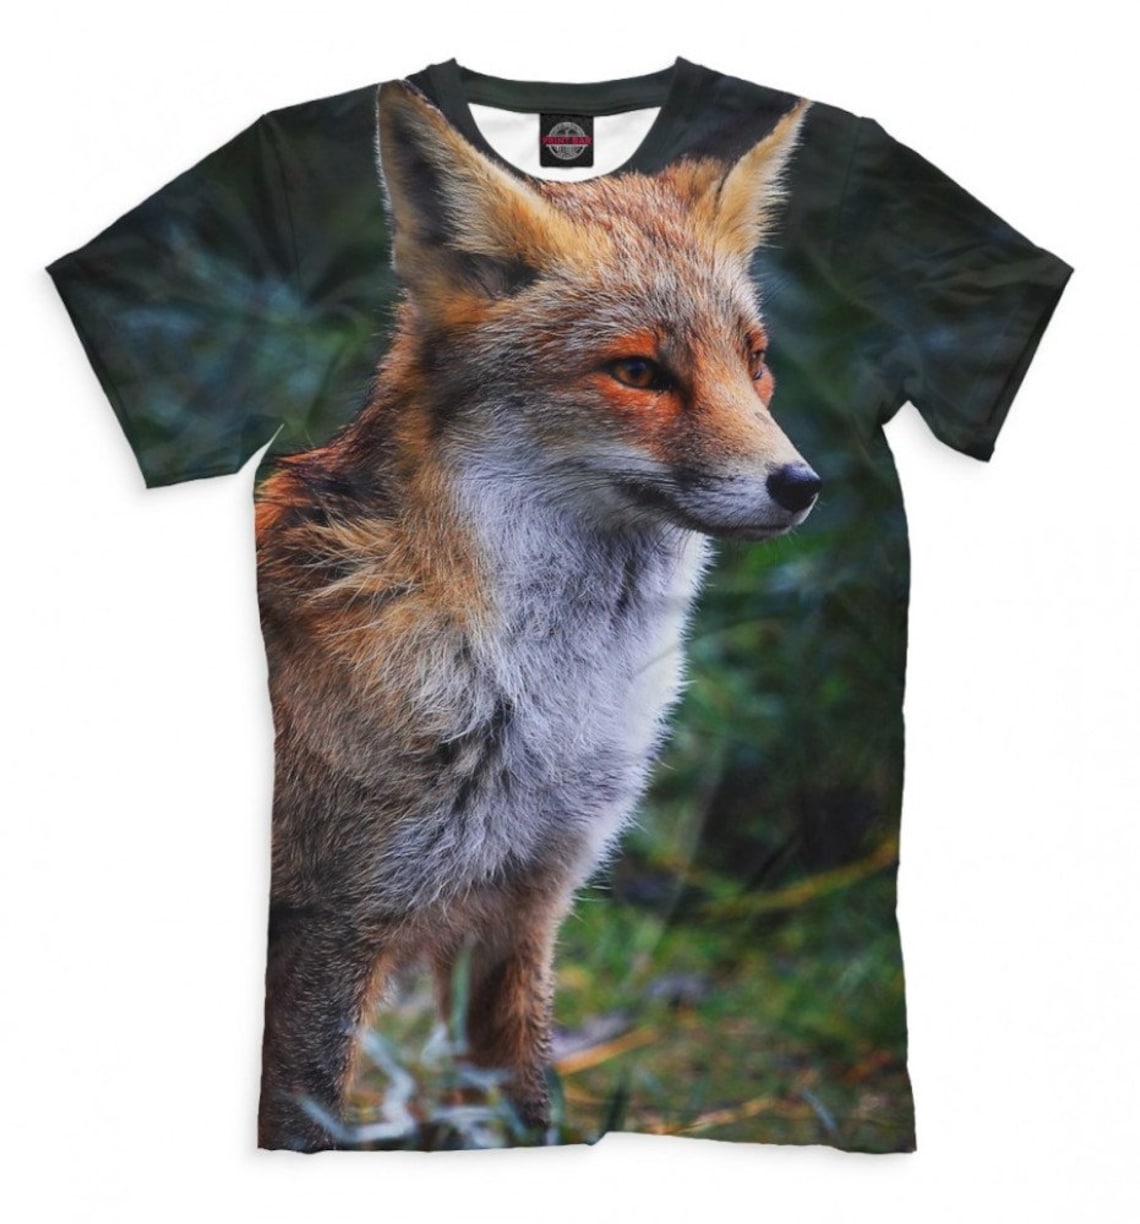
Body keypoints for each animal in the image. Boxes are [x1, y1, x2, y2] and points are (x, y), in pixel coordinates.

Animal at [254, 79, 820, 1151]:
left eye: (755, 360)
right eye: (638, 371)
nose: (800, 485)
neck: (542, 697)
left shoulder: (524, 909)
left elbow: (525, 1104)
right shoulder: (330, 926)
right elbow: (305, 1121)